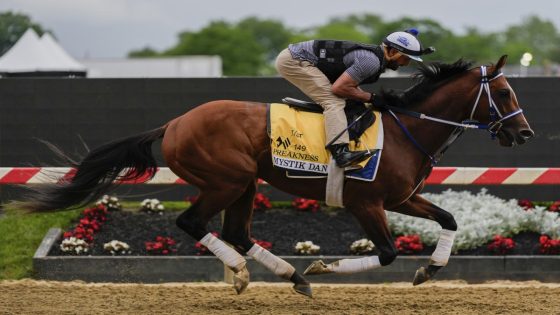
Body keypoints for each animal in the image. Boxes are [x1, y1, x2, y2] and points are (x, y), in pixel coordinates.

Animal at [18, 55, 532, 300]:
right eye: (506, 91)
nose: (524, 132)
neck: (409, 129)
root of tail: (175, 122)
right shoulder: (366, 203)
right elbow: (387, 253)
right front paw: (323, 267)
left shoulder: (401, 198)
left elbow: (448, 220)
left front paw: (430, 269)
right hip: (227, 179)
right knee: (194, 224)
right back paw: (253, 274)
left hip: (245, 183)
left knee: (237, 233)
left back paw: (288, 275)